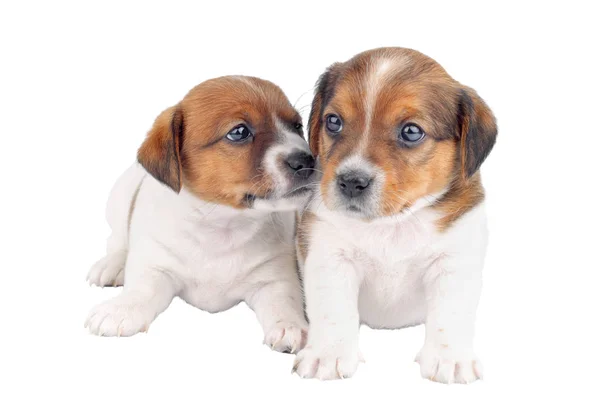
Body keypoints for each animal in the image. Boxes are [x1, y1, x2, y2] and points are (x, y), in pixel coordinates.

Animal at [88, 76, 318, 354]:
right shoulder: (156, 267)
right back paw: (111, 265)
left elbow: (284, 301)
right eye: (239, 132)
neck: (222, 224)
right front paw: (122, 309)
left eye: (297, 126)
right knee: (117, 239)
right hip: (120, 198)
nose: (308, 160)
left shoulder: (274, 279)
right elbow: (141, 290)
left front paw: (290, 325)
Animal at [294, 48, 496, 382]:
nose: (351, 181)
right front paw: (329, 354)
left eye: (411, 132)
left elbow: (450, 314)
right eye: (333, 121)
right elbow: (333, 311)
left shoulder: (454, 262)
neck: (392, 225)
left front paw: (450, 358)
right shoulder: (329, 256)